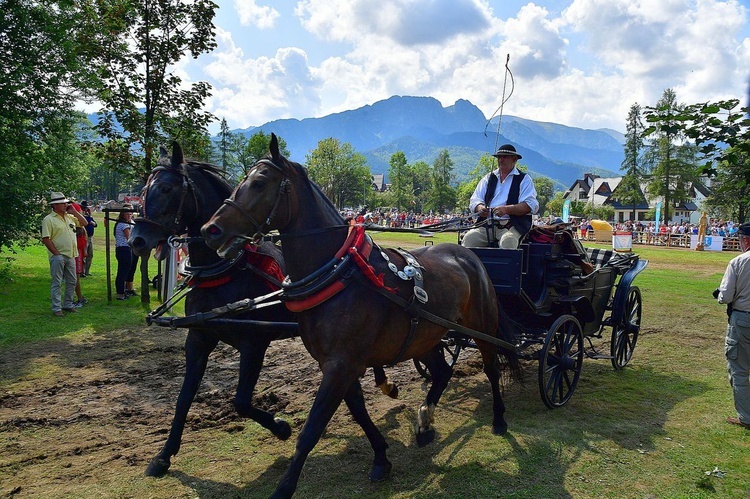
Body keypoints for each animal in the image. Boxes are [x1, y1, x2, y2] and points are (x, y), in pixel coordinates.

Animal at [129, 143, 400, 478]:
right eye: (143, 189)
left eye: (167, 188)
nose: (137, 239)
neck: (227, 271)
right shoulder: (199, 339)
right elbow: (183, 398)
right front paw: (164, 455)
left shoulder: (253, 343)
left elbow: (241, 402)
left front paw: (281, 427)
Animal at [203, 135, 520, 498]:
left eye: (258, 182)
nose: (210, 229)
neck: (341, 275)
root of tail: (469, 254)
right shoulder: (339, 363)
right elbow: (357, 411)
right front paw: (381, 457)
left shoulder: (341, 365)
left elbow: (311, 429)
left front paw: (284, 488)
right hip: (427, 336)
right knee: (442, 372)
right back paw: (425, 423)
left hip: (483, 326)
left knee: (492, 367)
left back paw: (499, 418)